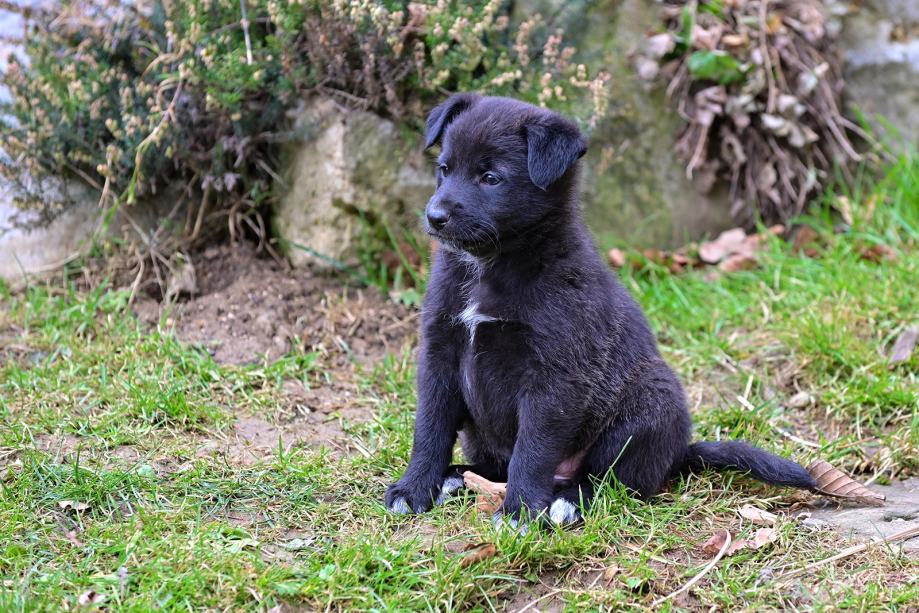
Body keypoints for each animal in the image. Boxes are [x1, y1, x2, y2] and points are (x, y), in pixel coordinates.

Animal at [384, 93, 815, 527]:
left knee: (616, 481)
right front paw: (414, 488)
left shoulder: (555, 375)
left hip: (649, 405)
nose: (434, 217)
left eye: (491, 178)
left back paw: (568, 500)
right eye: (444, 169)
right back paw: (458, 477)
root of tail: (678, 454)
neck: (491, 265)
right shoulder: (440, 352)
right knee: (498, 467)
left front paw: (520, 510)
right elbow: (430, 429)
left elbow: (533, 448)